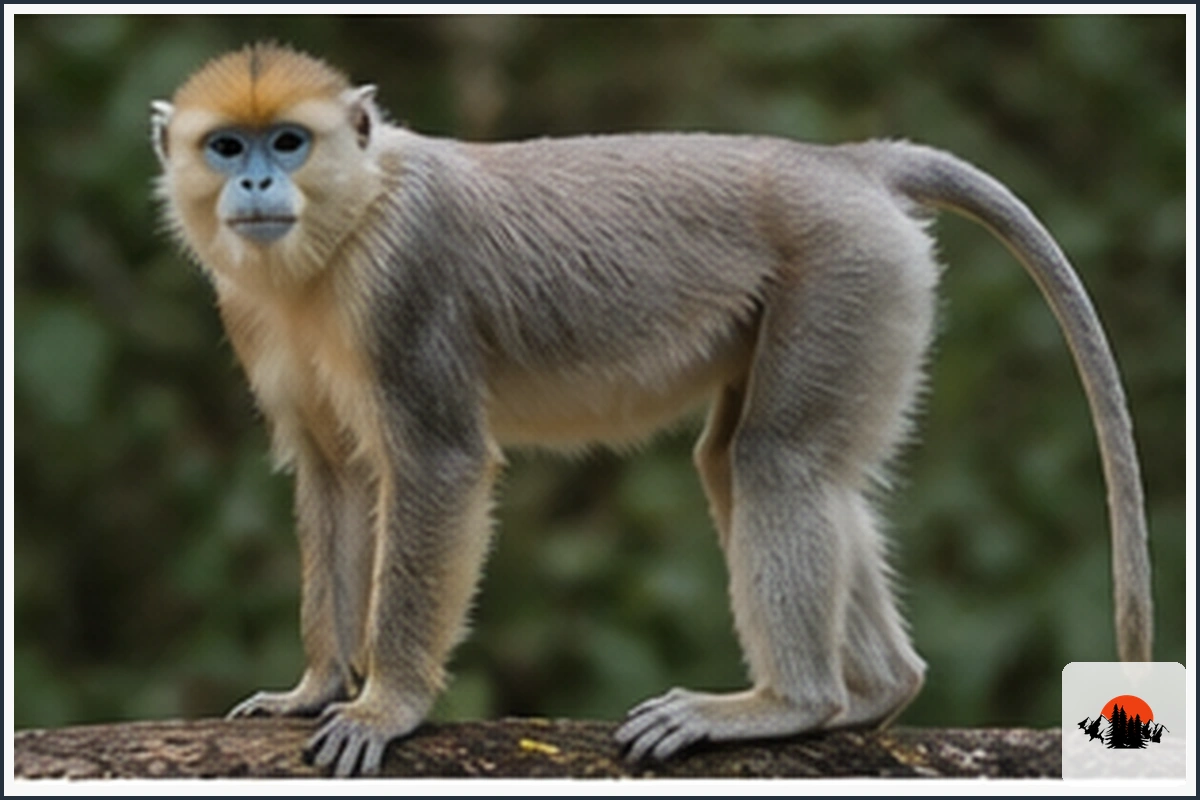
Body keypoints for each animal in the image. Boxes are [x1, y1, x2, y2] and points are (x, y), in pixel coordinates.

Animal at [151, 43, 1152, 777]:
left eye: (288, 141)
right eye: (227, 146)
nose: (254, 185)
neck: (352, 215)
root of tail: (848, 166)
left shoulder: (403, 282)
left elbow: (437, 465)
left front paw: (385, 707)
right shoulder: (255, 315)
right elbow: (334, 475)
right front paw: (316, 687)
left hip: (850, 270)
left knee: (776, 461)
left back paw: (792, 705)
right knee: (753, 462)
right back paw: (874, 691)